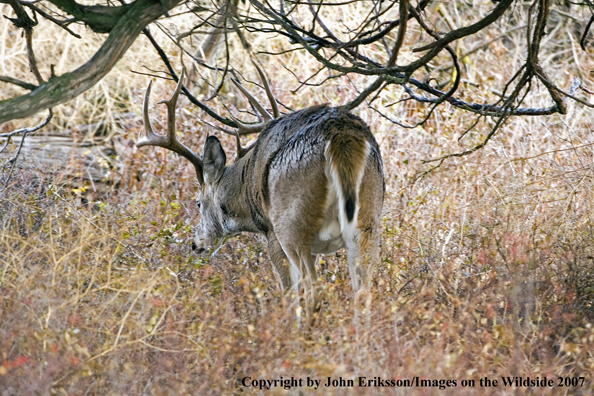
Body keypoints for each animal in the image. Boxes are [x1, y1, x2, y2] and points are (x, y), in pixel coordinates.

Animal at [136, 66, 382, 320]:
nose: (196, 245)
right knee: (363, 294)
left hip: (291, 224)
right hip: (368, 221)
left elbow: (290, 296)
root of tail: (340, 136)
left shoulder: (272, 234)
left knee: (312, 291)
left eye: (198, 203)